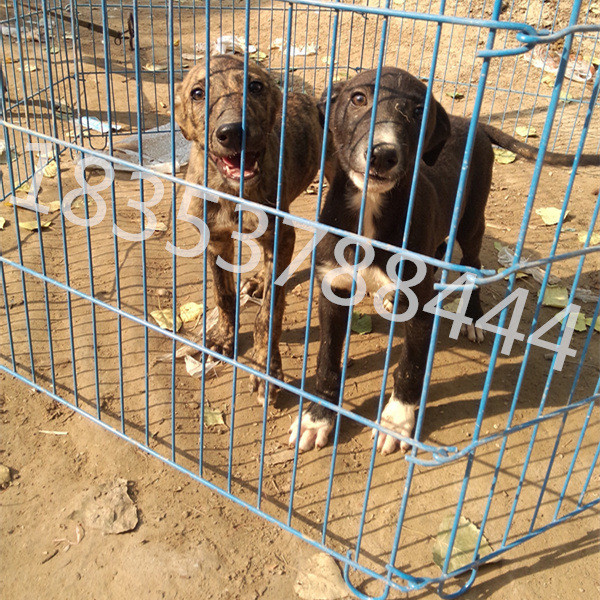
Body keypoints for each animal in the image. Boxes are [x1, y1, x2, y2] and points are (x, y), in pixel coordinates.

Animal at [175, 55, 324, 404]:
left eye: (255, 86)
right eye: (198, 93)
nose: (233, 132)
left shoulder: (282, 237)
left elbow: (269, 313)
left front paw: (266, 367)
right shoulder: (216, 240)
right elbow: (223, 295)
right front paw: (222, 338)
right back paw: (257, 280)